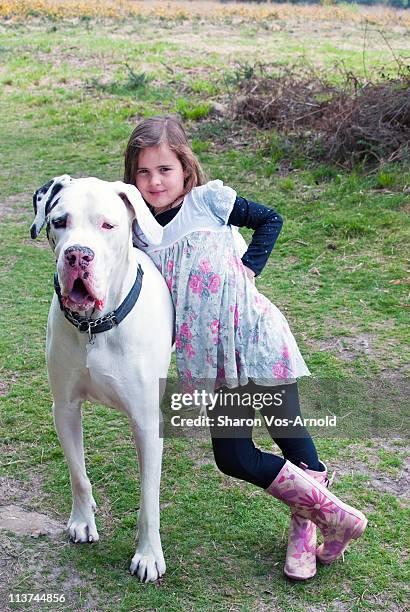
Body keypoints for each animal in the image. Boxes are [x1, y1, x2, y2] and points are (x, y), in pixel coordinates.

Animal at [30, 175, 174, 580]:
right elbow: (78, 474)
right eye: (59, 221)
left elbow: (148, 499)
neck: (95, 327)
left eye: (108, 225)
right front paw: (82, 521)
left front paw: (148, 555)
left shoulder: (146, 421)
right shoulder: (64, 408)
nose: (78, 255)